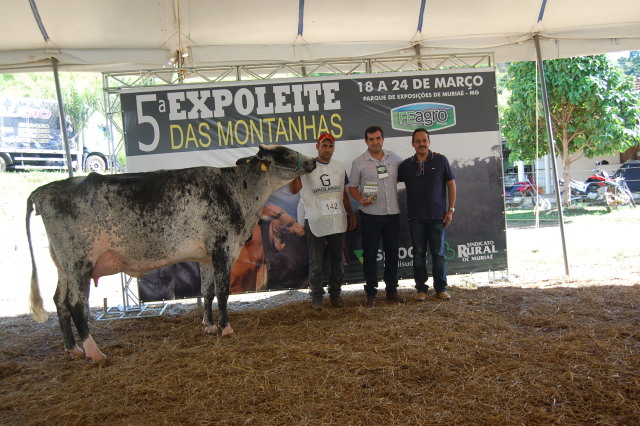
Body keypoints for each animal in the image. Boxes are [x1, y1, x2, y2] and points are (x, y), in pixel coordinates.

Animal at [26, 145, 316, 363]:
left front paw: (209, 325)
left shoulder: (206, 256)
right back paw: (94, 352)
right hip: (79, 261)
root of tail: (43, 191)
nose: (312, 161)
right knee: (76, 304)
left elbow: (207, 291)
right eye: (286, 153)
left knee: (60, 301)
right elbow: (222, 292)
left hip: (63, 265)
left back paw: (72, 348)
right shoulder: (222, 248)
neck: (239, 191)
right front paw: (226, 328)